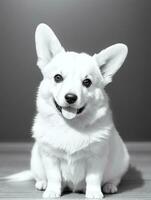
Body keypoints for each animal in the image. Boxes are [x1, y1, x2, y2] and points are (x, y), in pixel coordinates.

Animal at [5, 23, 130, 198]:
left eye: (87, 82)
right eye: (58, 77)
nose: (71, 97)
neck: (70, 126)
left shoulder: (96, 159)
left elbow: (93, 178)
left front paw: (94, 193)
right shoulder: (50, 157)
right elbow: (54, 177)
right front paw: (52, 191)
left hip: (122, 161)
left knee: (115, 178)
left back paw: (109, 186)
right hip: (36, 160)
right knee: (40, 176)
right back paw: (42, 183)